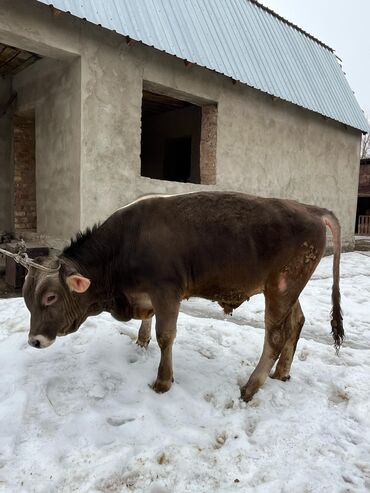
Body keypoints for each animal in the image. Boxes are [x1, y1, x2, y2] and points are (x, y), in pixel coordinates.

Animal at [22, 190, 344, 402]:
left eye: (50, 298)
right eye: (27, 299)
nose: (34, 341)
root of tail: (311, 209)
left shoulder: (167, 290)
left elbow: (166, 336)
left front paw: (163, 381)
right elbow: (149, 324)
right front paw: (141, 342)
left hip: (282, 287)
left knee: (275, 336)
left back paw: (251, 387)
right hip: (285, 286)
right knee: (296, 323)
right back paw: (282, 372)